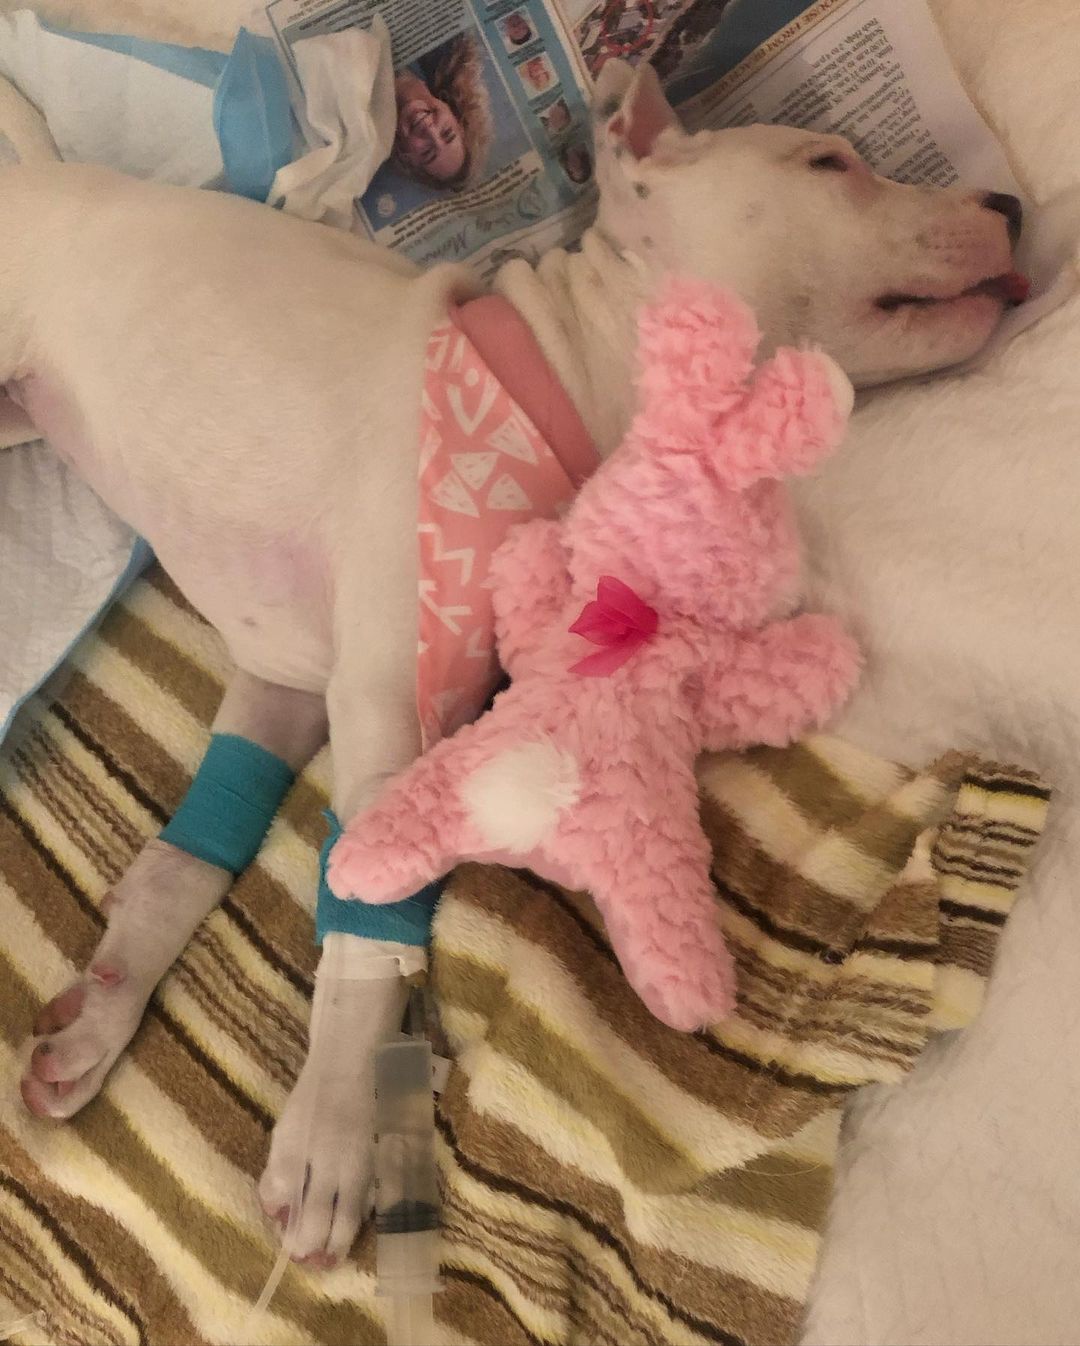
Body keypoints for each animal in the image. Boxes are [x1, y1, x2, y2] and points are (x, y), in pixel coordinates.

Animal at [8, 55, 1018, 1270]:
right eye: (829, 163)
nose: (1012, 205)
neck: (552, 380)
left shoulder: (288, 679)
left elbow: (196, 852)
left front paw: (106, 1005)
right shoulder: (385, 708)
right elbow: (367, 924)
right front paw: (332, 1133)